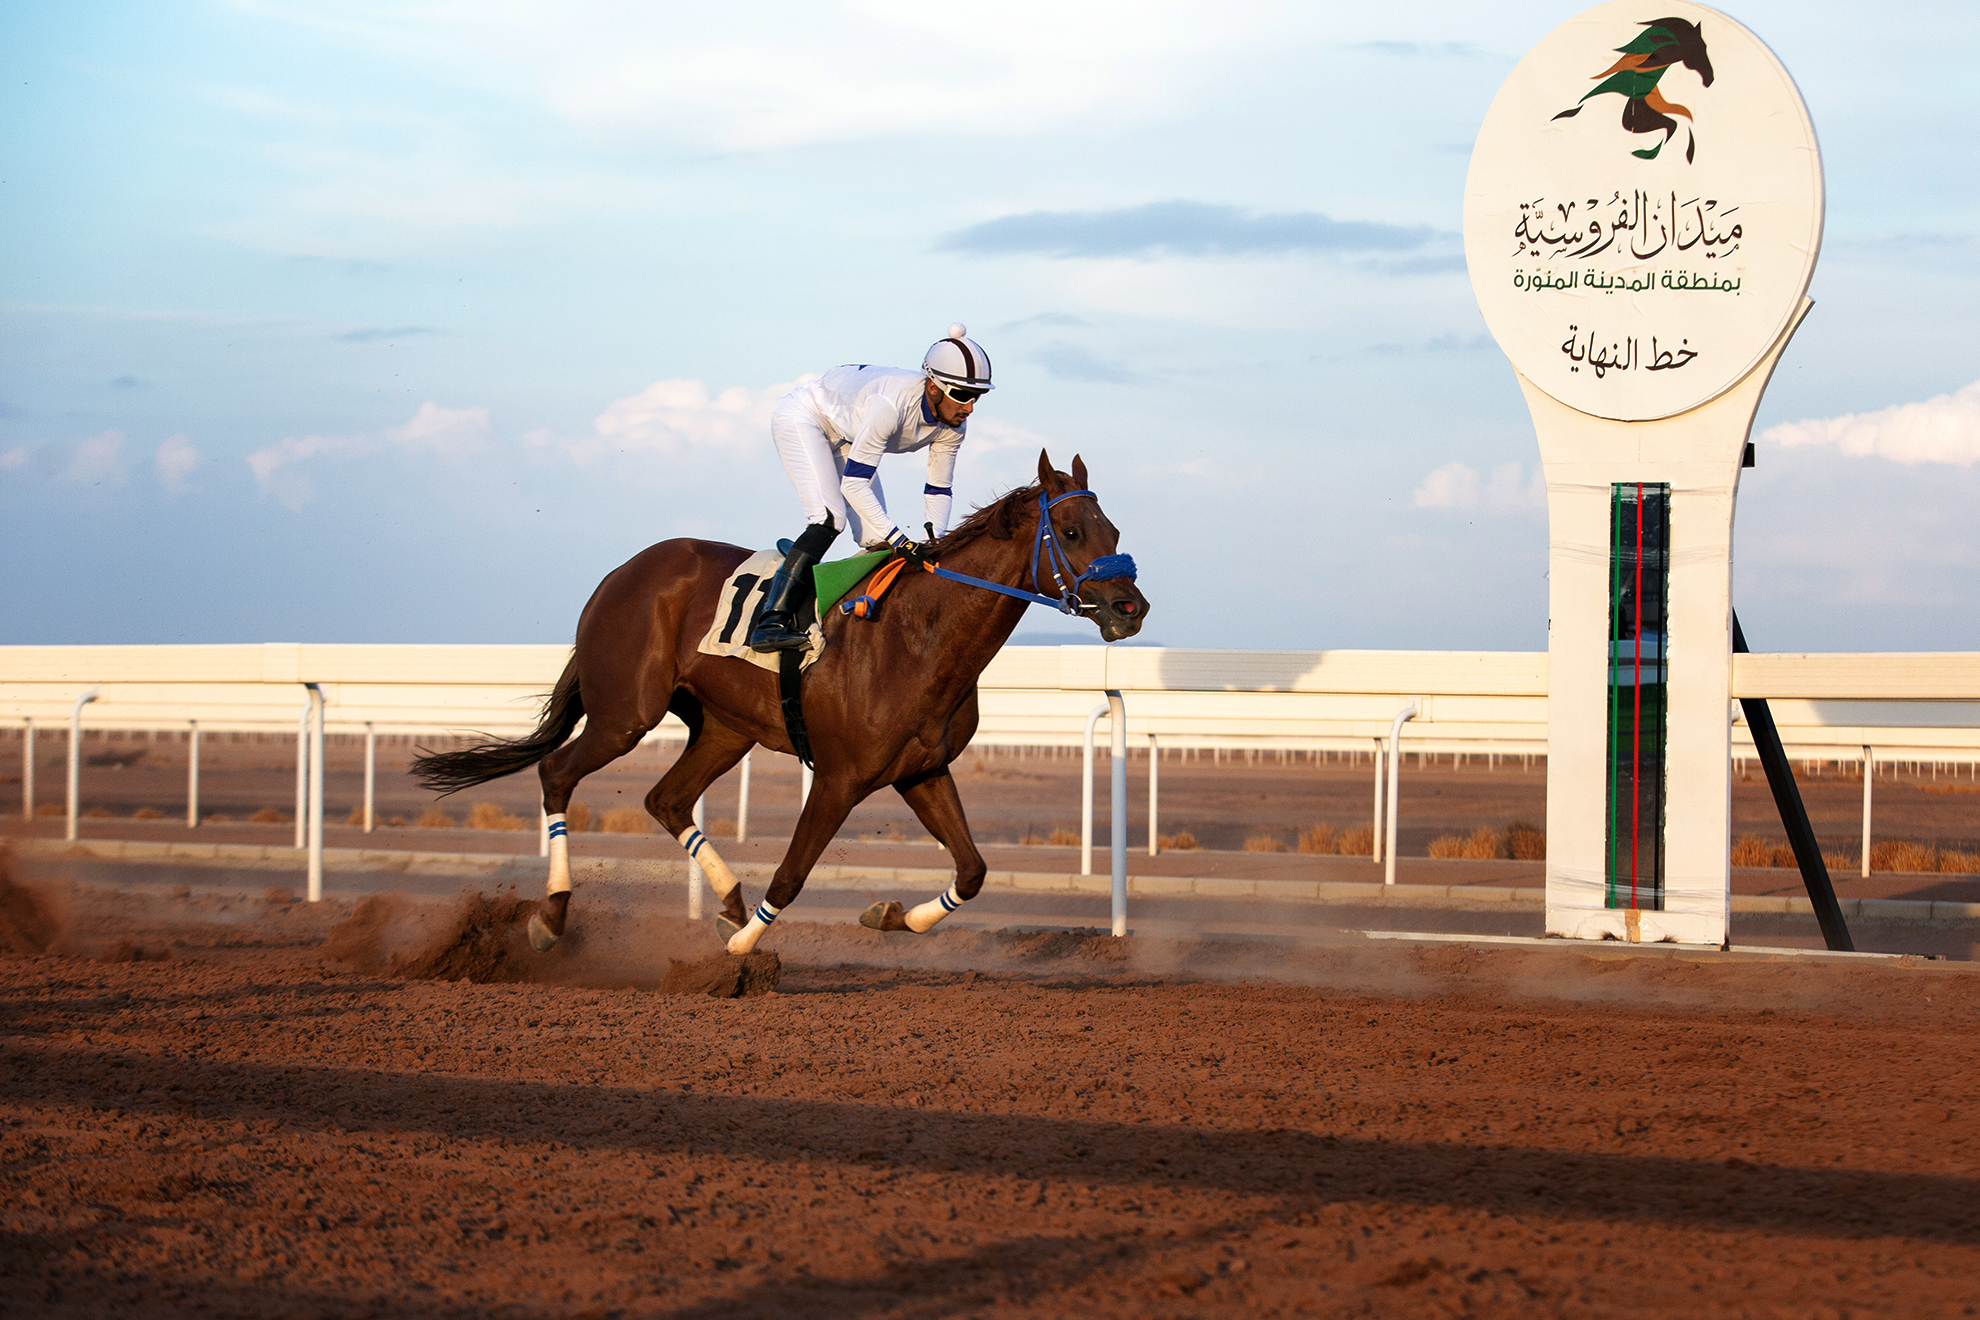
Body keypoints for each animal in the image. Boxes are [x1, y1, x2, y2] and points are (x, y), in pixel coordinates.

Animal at [409, 449, 1156, 953]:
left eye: (1116, 532)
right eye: (1072, 533)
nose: (1131, 607)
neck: (920, 634)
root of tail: (621, 574)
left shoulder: (920, 770)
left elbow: (972, 870)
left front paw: (890, 915)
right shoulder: (839, 776)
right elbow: (794, 874)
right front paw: (738, 954)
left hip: (724, 728)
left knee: (666, 799)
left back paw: (728, 901)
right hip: (625, 712)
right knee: (557, 773)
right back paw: (553, 915)